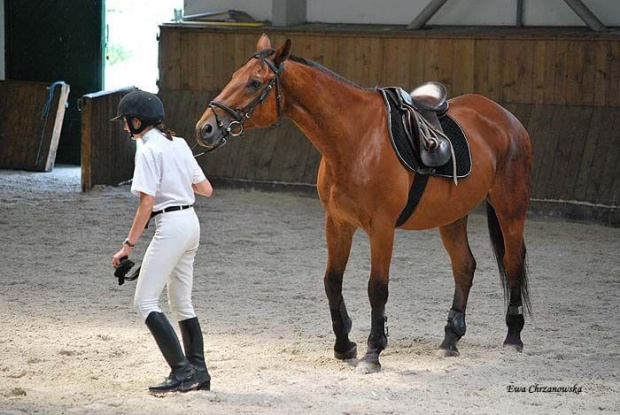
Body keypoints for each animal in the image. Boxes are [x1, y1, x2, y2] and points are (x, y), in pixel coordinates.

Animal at [195, 35, 532, 374]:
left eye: (254, 82)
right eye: (235, 76)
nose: (205, 128)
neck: (355, 139)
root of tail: (507, 119)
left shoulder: (382, 228)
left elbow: (377, 288)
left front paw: (373, 351)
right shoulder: (338, 223)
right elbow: (332, 281)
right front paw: (344, 345)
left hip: (510, 209)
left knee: (513, 261)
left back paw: (514, 336)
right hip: (452, 217)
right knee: (464, 266)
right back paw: (450, 340)